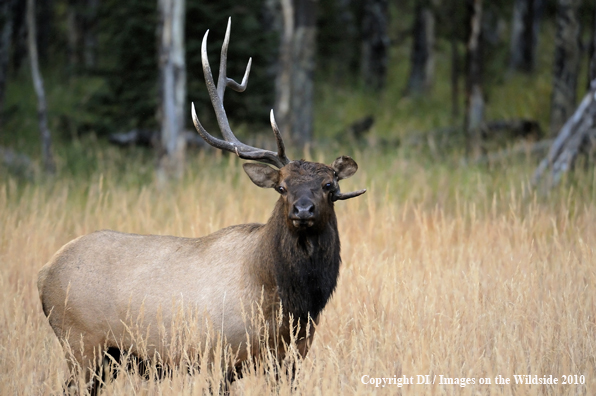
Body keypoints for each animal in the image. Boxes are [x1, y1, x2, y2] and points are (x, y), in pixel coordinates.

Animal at [37, 17, 366, 392]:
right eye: (281, 187)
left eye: (329, 186)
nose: (303, 211)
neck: (287, 303)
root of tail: (44, 274)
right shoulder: (214, 355)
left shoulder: (290, 359)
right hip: (81, 344)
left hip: (106, 358)